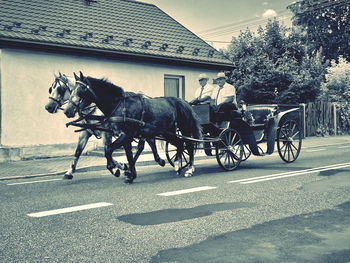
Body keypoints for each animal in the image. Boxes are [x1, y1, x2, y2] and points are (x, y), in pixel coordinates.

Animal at [65, 71, 202, 184]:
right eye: (71, 90)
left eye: (81, 89)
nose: (67, 111)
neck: (120, 105)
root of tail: (183, 102)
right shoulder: (125, 136)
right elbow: (128, 155)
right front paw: (130, 174)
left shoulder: (126, 135)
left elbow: (108, 150)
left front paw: (116, 169)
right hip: (167, 132)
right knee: (179, 144)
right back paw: (178, 165)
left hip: (183, 129)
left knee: (189, 145)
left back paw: (189, 169)